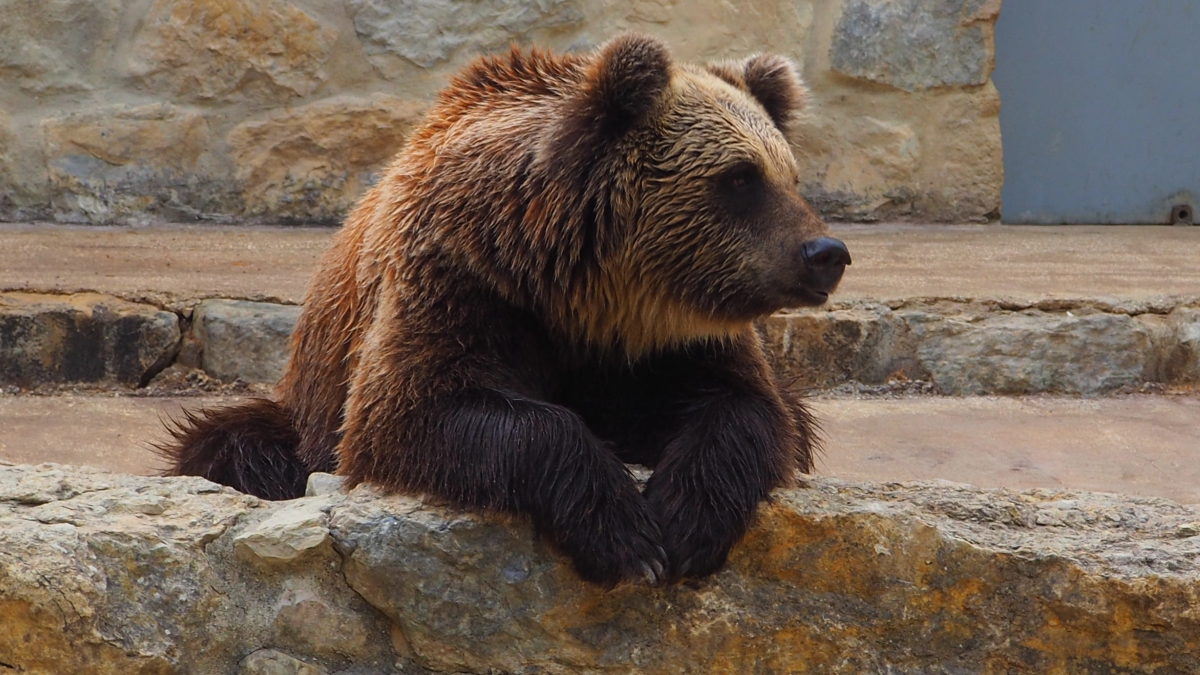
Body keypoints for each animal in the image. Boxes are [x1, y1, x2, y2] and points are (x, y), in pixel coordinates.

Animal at [162, 33, 850, 586]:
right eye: (740, 177)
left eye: (789, 175)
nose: (826, 253)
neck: (587, 289)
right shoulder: (464, 282)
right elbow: (418, 410)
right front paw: (627, 537)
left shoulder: (673, 338)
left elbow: (754, 408)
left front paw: (684, 522)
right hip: (305, 408)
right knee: (235, 448)